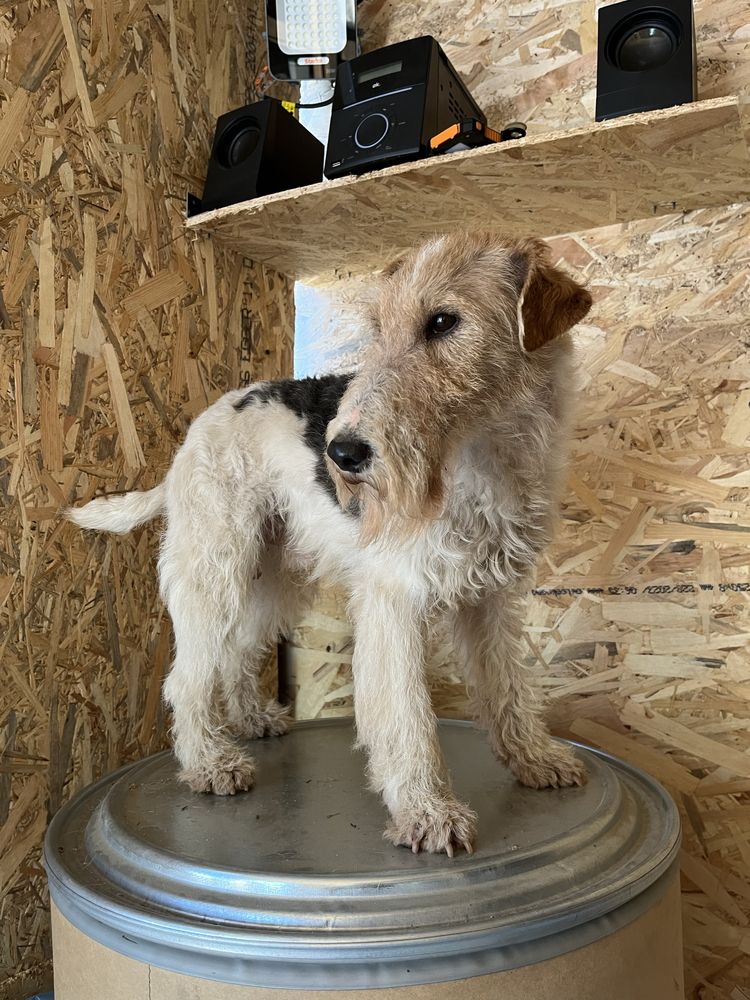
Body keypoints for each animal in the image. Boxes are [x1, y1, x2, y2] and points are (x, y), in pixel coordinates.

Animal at [69, 230, 592, 856]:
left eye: (443, 321)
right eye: (376, 329)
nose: (342, 454)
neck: (485, 458)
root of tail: (198, 429)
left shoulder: (489, 600)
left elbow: (508, 689)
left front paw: (535, 759)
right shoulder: (395, 601)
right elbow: (408, 718)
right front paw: (428, 812)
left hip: (274, 575)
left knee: (236, 654)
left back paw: (252, 720)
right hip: (216, 567)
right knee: (186, 679)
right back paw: (210, 764)